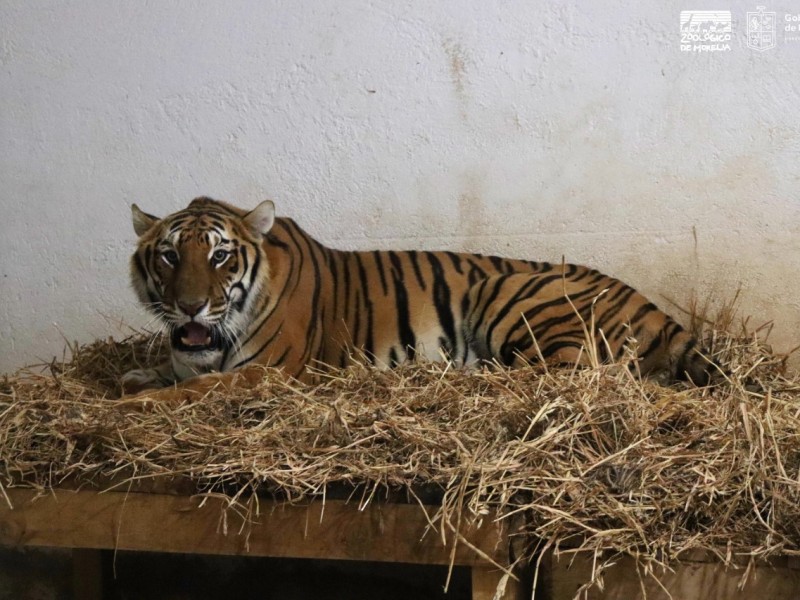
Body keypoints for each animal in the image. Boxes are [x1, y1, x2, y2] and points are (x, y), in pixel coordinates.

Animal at [120, 197, 712, 394]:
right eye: (169, 256)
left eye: (220, 256)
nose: (191, 306)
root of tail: (652, 306)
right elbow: (168, 375)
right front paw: (134, 377)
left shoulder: (264, 372)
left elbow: (182, 395)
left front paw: (136, 400)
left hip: (507, 291)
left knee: (562, 375)